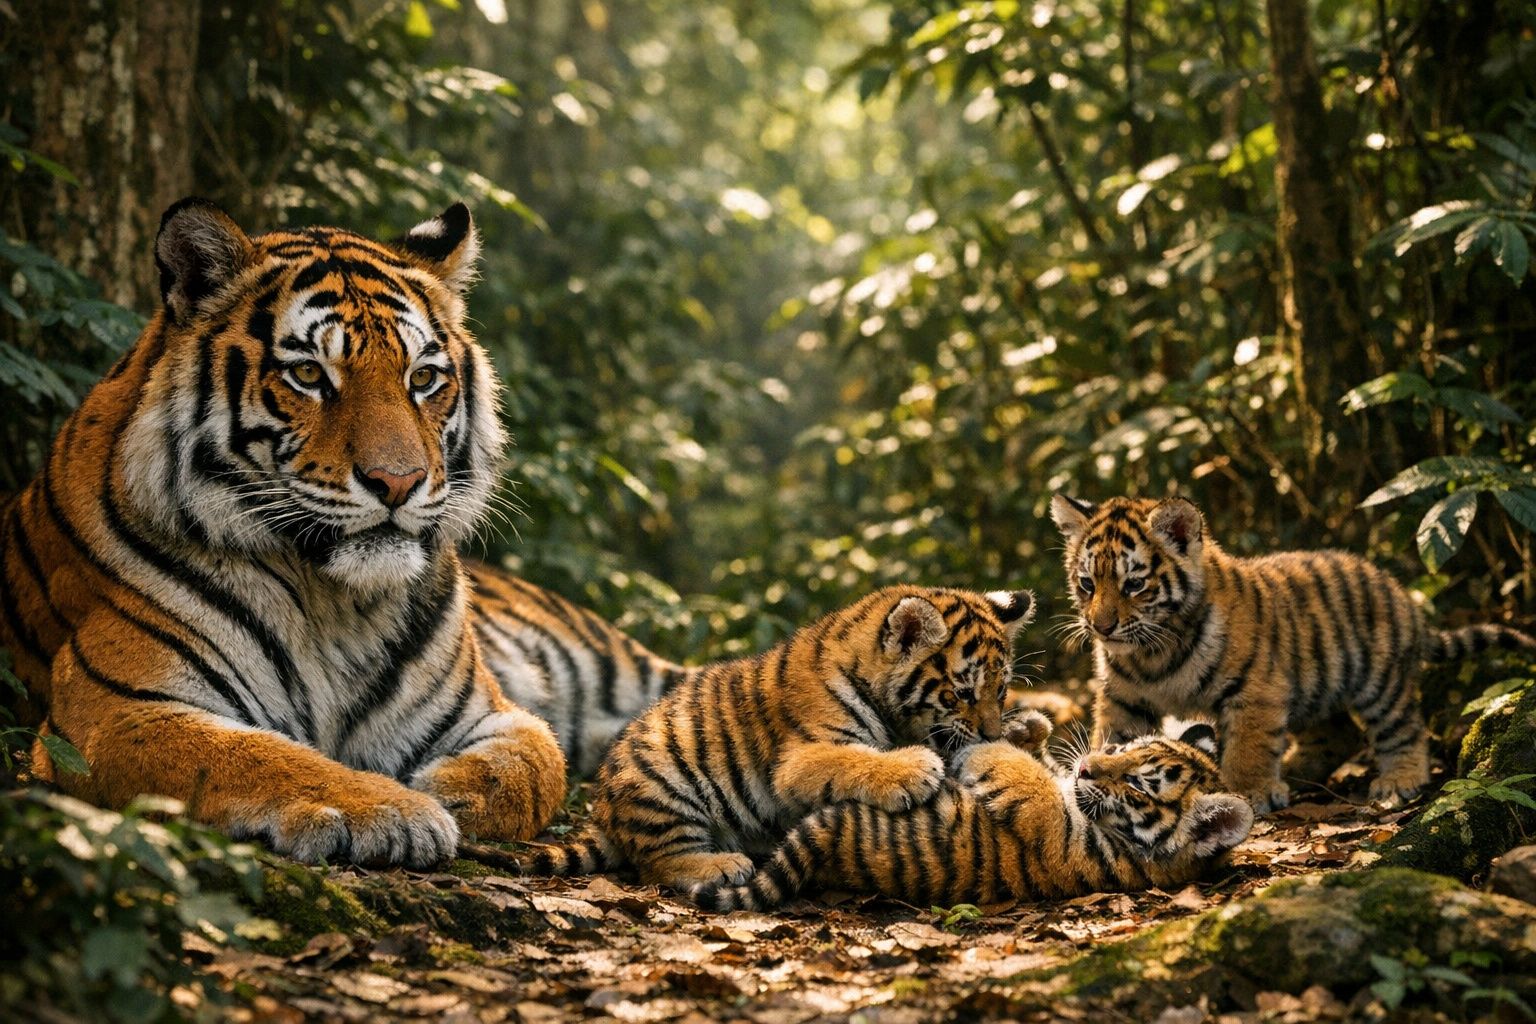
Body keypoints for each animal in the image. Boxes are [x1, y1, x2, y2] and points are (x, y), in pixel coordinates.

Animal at [0, 197, 586, 867]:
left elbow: (537, 764)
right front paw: (397, 808)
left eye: (422, 379)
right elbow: (256, 755)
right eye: (308, 374)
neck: (340, 605)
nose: (399, 481)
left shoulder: (492, 712)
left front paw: (445, 788)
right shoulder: (112, 710)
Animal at [512, 586, 1037, 891]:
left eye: (1001, 690)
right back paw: (720, 866)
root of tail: (604, 812)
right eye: (961, 693)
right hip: (662, 783)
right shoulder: (801, 758)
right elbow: (857, 759)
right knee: (657, 861)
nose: (990, 730)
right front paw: (914, 767)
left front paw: (1025, 730)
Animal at [696, 716, 1252, 911]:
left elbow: (1027, 779)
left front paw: (984, 751)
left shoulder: (1054, 831)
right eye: (1119, 747)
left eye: (1138, 783)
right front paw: (1029, 730)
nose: (1088, 766)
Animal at [1049, 494, 1536, 812]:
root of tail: (1403, 597)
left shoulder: (1255, 690)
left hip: (1380, 683)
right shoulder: (1124, 698)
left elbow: (1248, 746)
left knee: (1405, 729)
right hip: (1317, 688)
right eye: (1087, 583)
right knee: (1339, 734)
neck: (1153, 651)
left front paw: (1248, 792)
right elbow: (1115, 737)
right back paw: (1299, 769)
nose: (1100, 626)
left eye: (1134, 584)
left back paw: (1399, 781)